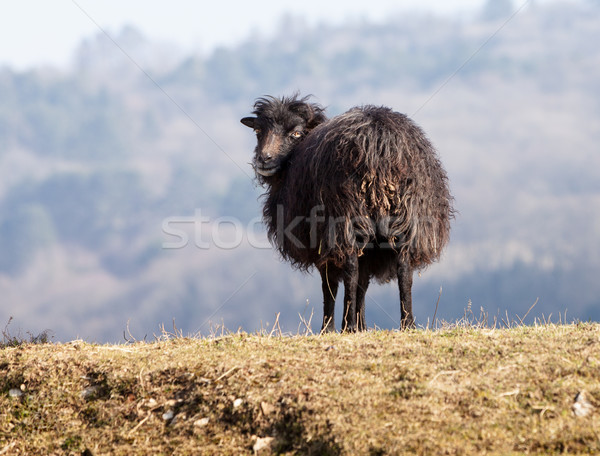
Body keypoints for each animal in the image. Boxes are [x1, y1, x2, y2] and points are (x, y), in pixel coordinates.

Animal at [241, 94, 452, 334]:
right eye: (258, 130)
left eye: (296, 133)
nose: (264, 159)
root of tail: (380, 145)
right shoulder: (370, 248)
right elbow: (363, 282)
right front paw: (360, 326)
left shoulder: (321, 242)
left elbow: (330, 285)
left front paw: (331, 328)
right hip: (407, 217)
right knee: (404, 269)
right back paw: (407, 323)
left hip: (345, 218)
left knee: (350, 269)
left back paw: (349, 325)